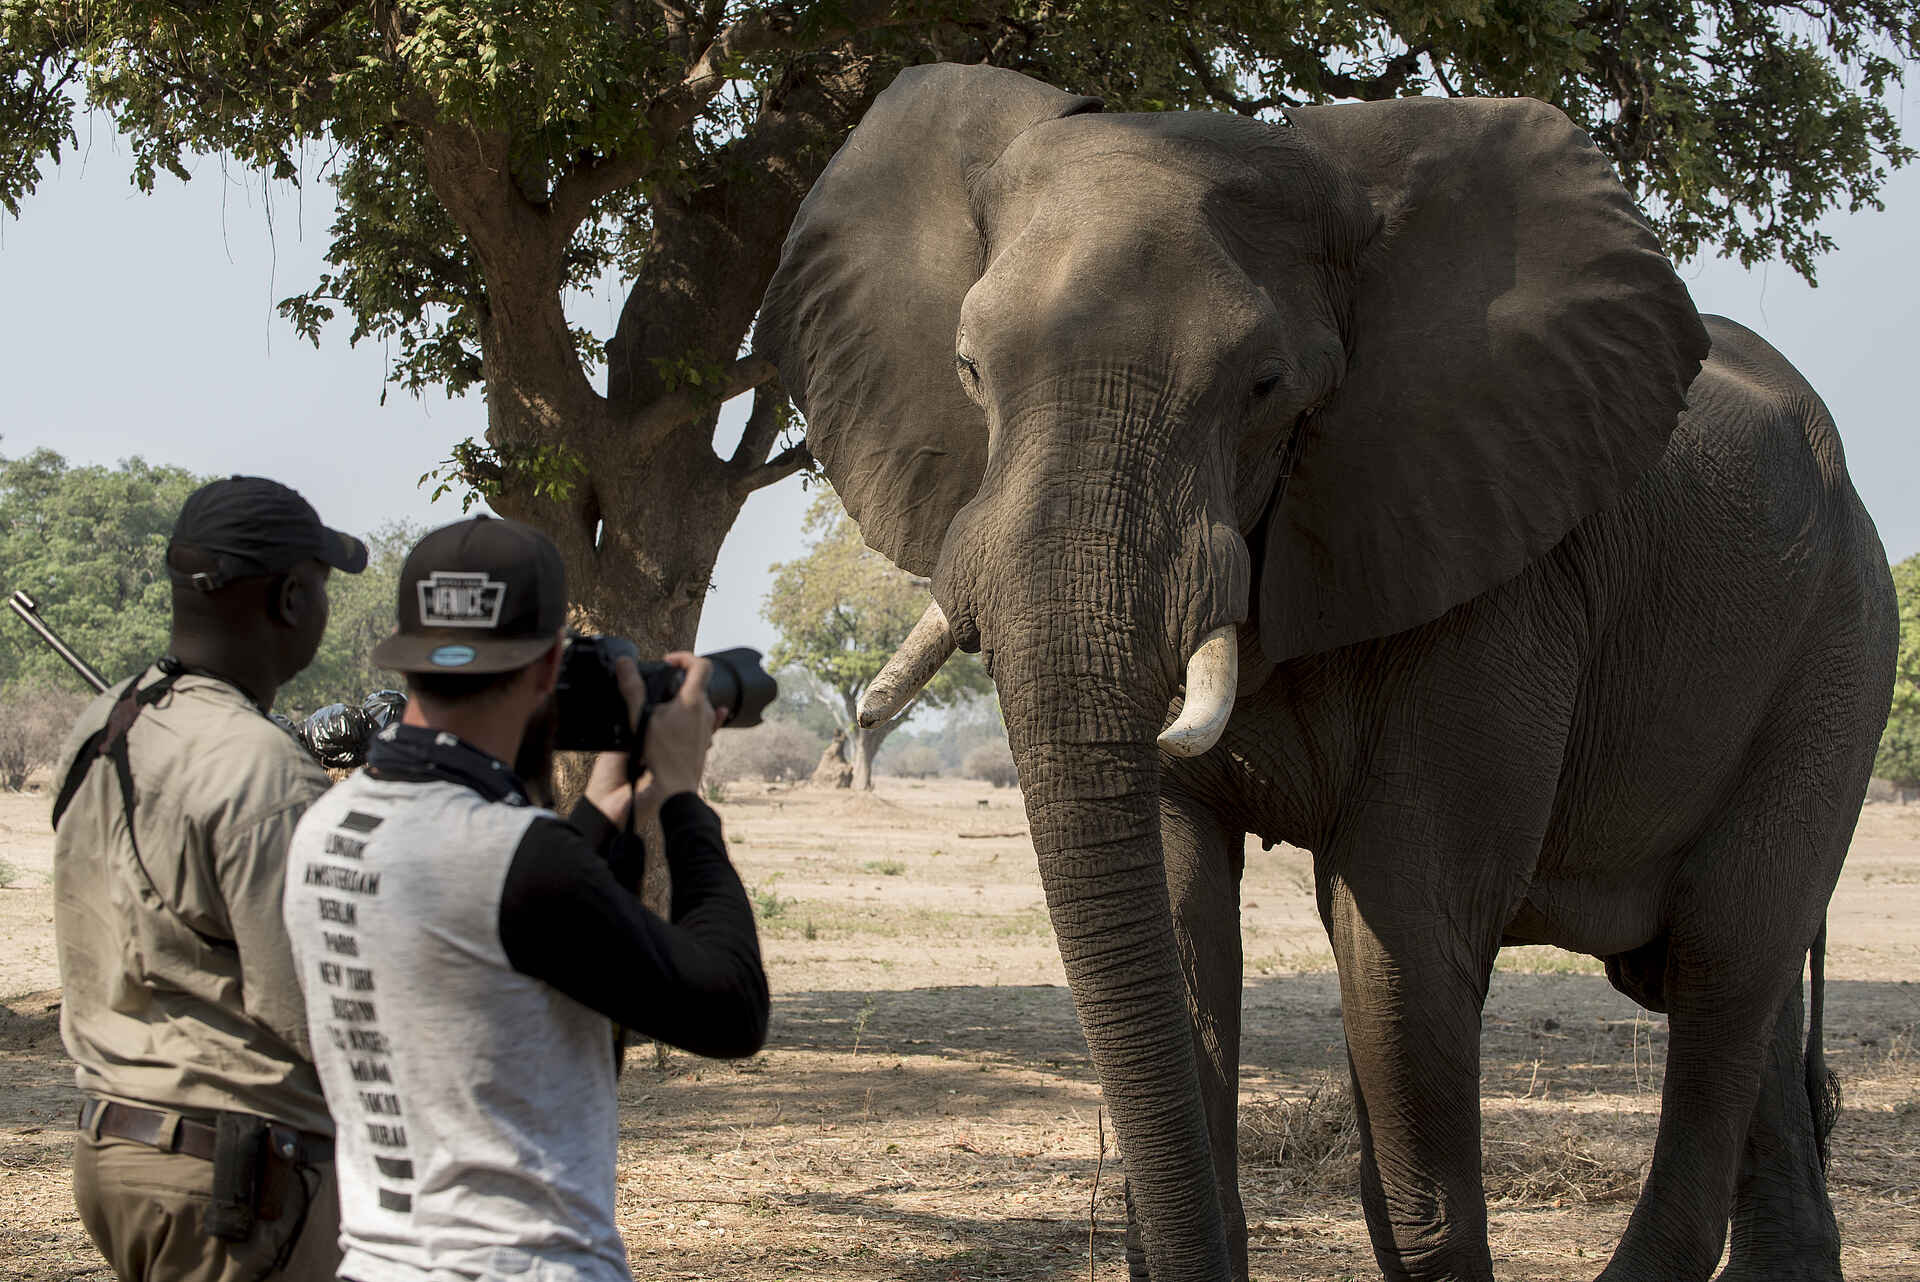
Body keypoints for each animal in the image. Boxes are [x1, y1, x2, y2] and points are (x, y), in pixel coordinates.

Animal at [753, 63, 1899, 1282]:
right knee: (1725, 991)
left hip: (1839, 656)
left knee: (1727, 967)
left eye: (1267, 386)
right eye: (970, 370)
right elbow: (1177, 904)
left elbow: (1398, 922)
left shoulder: (1493, 567)